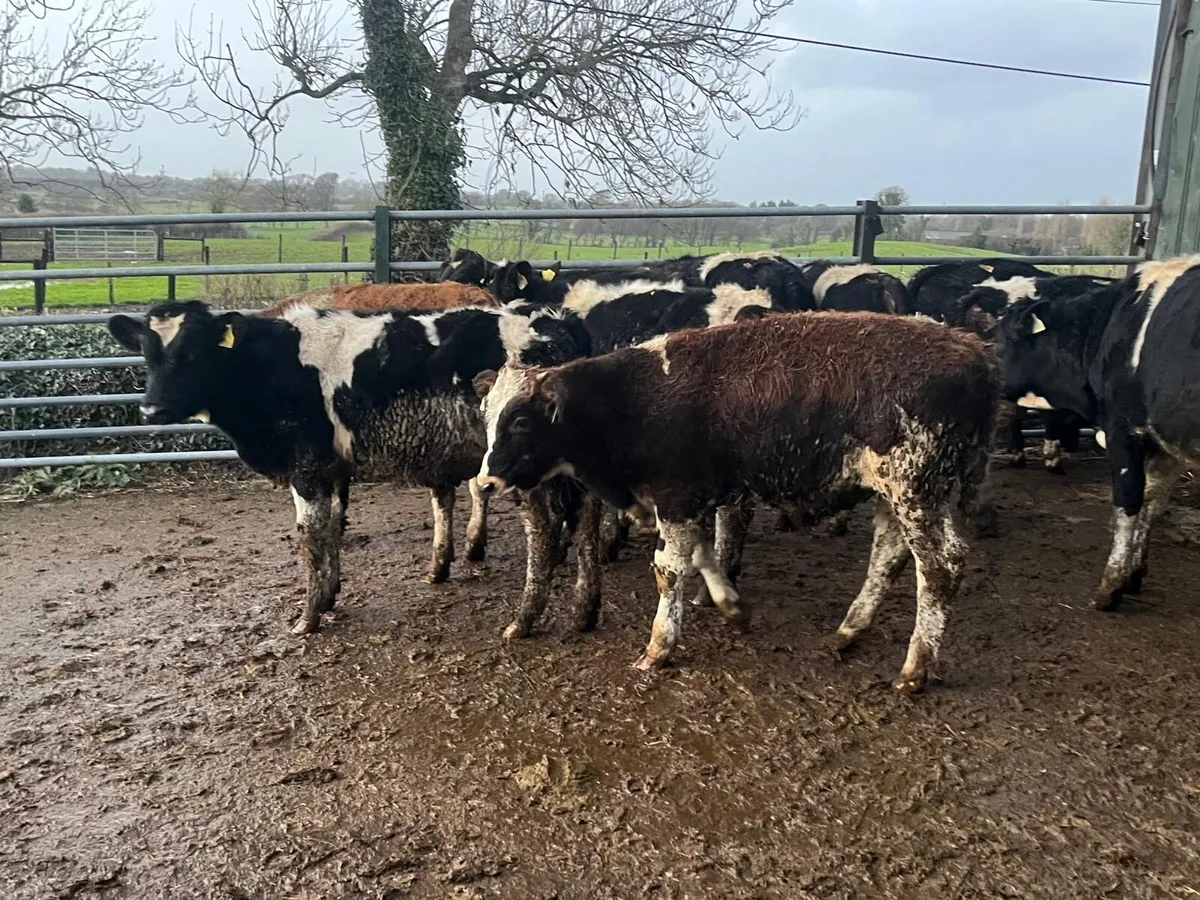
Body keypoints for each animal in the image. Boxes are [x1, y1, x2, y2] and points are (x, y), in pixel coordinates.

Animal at [107, 300, 591, 635]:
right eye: (147, 354)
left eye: (192, 353)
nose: (151, 409)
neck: (271, 365)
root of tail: (557, 317)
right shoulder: (332, 469)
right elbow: (334, 528)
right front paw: (329, 596)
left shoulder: (306, 468)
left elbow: (310, 536)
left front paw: (308, 617)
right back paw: (585, 607)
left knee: (545, 527)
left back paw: (526, 619)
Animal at [476, 312, 997, 692]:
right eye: (487, 414)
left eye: (521, 420)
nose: (485, 482)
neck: (629, 400)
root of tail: (973, 349)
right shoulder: (689, 500)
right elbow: (704, 556)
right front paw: (731, 607)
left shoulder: (676, 498)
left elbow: (670, 571)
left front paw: (658, 647)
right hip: (895, 494)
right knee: (888, 556)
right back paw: (850, 630)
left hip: (916, 492)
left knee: (941, 568)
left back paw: (915, 668)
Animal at [995, 254, 1200, 612]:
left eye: (1004, 340)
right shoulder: (1166, 444)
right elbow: (1152, 502)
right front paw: (1135, 574)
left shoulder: (1123, 429)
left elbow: (1129, 503)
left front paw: (1111, 586)